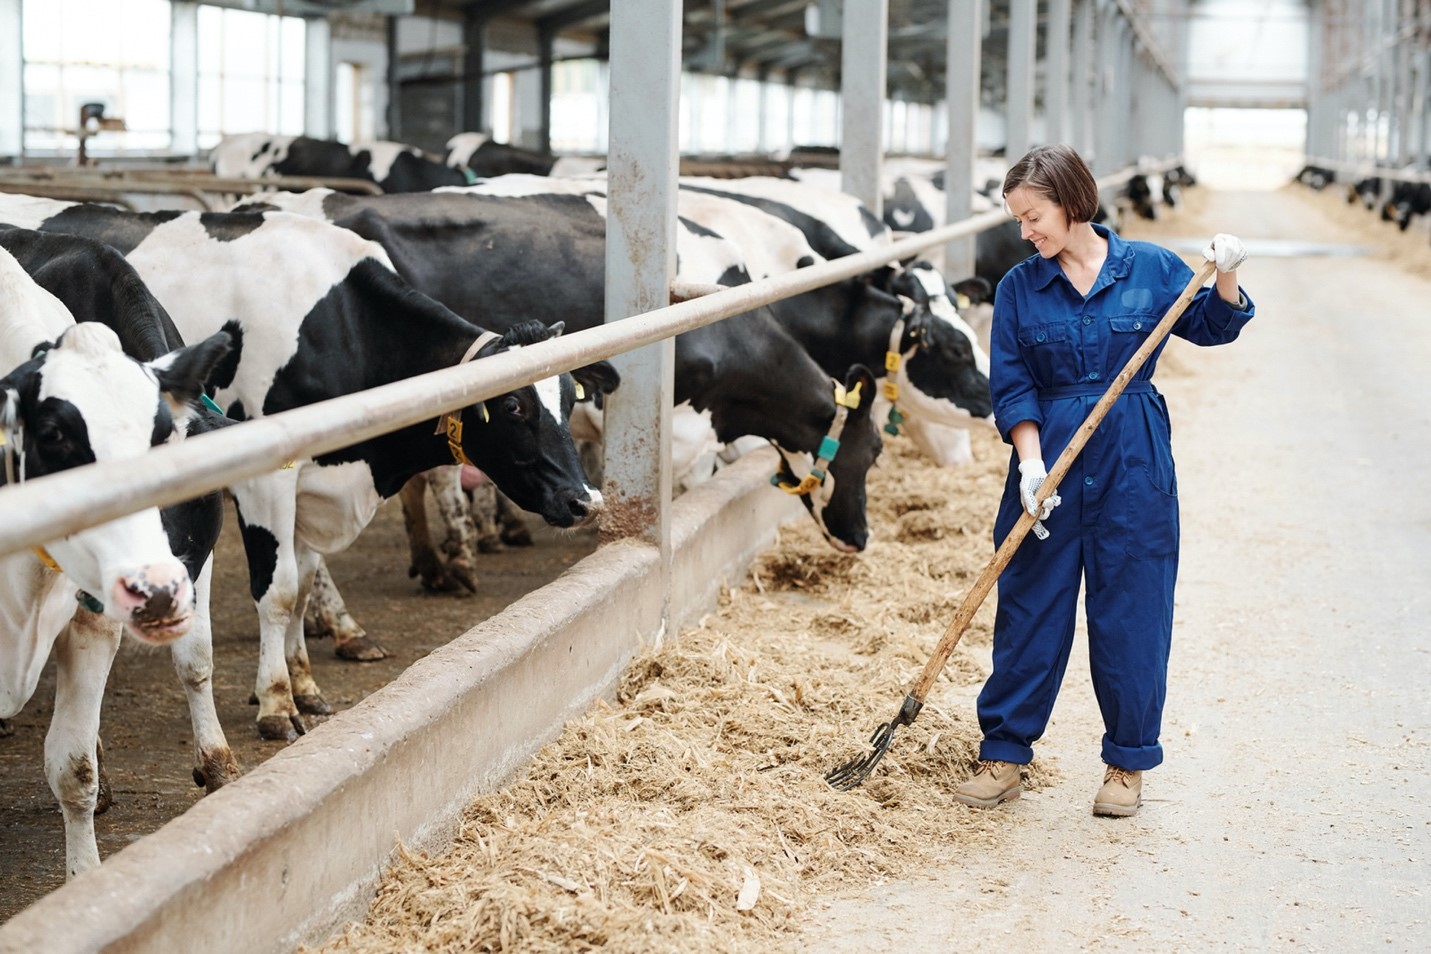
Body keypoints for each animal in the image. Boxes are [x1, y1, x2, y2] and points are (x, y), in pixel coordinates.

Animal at [0, 194, 609, 743]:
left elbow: (305, 577)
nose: (585, 500)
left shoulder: (317, 478)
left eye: (569, 398)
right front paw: (276, 702)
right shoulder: (269, 478)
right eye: (514, 406)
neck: (342, 325)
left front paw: (304, 683)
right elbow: (280, 588)